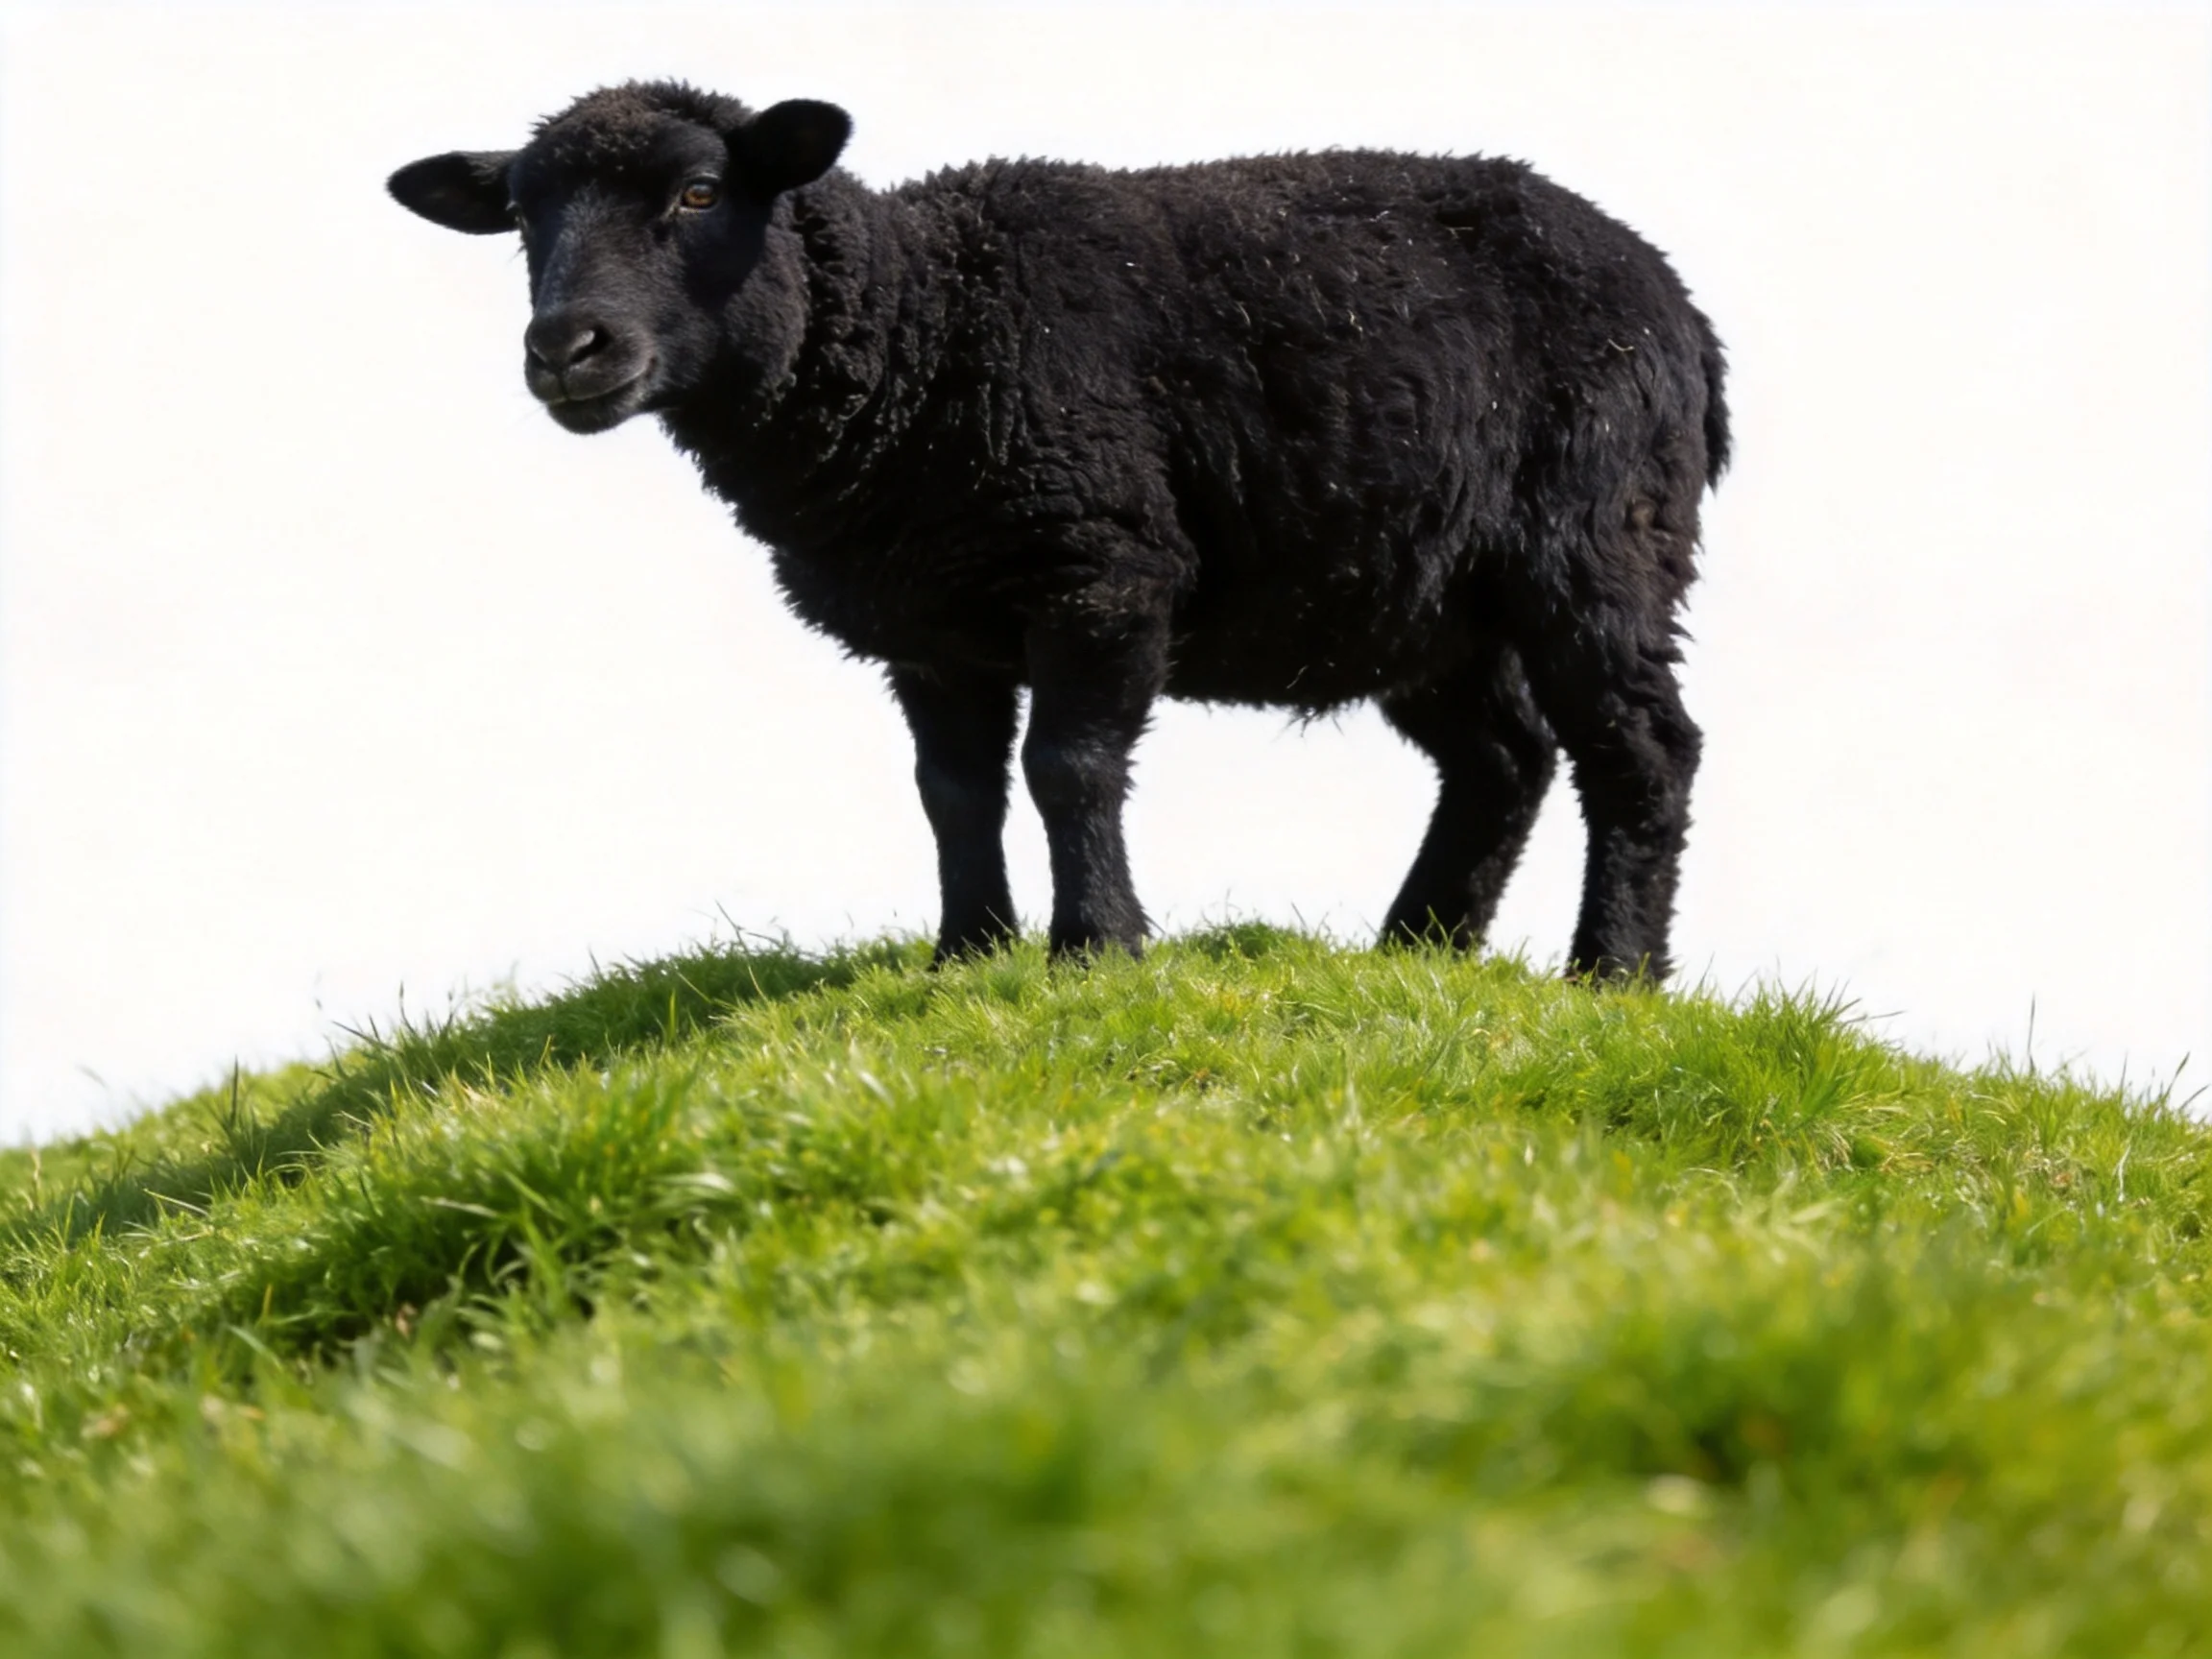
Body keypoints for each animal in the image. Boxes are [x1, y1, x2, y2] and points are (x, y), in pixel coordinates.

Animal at [389, 81, 1729, 978]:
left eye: (700, 191)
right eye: (522, 222)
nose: (568, 350)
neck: (920, 336)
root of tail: (1678, 308)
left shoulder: (1103, 568)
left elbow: (1067, 767)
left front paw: (1097, 949)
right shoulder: (929, 628)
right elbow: (952, 791)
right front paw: (968, 955)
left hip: (1599, 540)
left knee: (1640, 750)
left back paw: (1610, 976)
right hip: (1418, 597)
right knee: (1502, 759)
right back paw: (1416, 955)